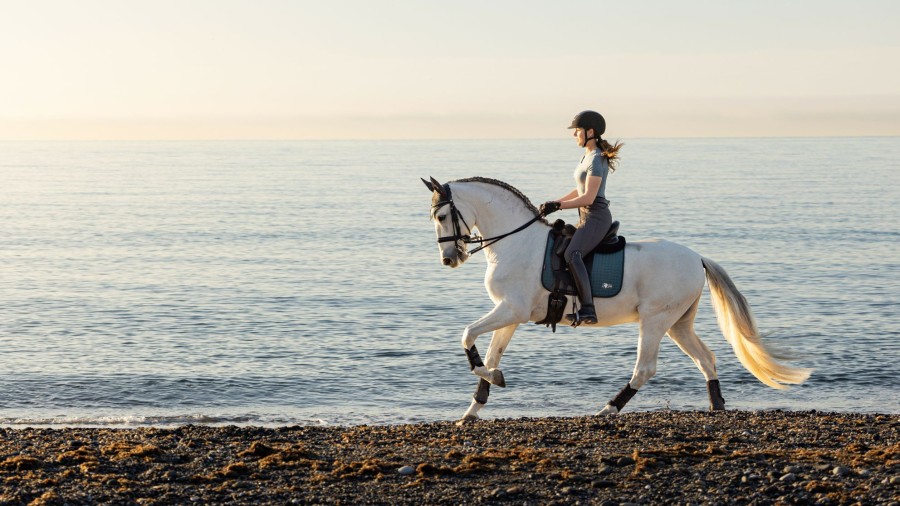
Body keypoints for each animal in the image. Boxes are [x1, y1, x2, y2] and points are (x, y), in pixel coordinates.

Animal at [426, 177, 812, 422]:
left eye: (442, 215)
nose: (449, 259)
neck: (515, 242)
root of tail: (698, 258)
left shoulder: (511, 309)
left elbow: (467, 334)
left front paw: (489, 379)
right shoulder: (512, 314)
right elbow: (491, 354)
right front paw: (475, 406)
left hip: (655, 320)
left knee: (645, 369)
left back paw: (608, 409)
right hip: (678, 324)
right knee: (706, 359)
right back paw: (716, 406)